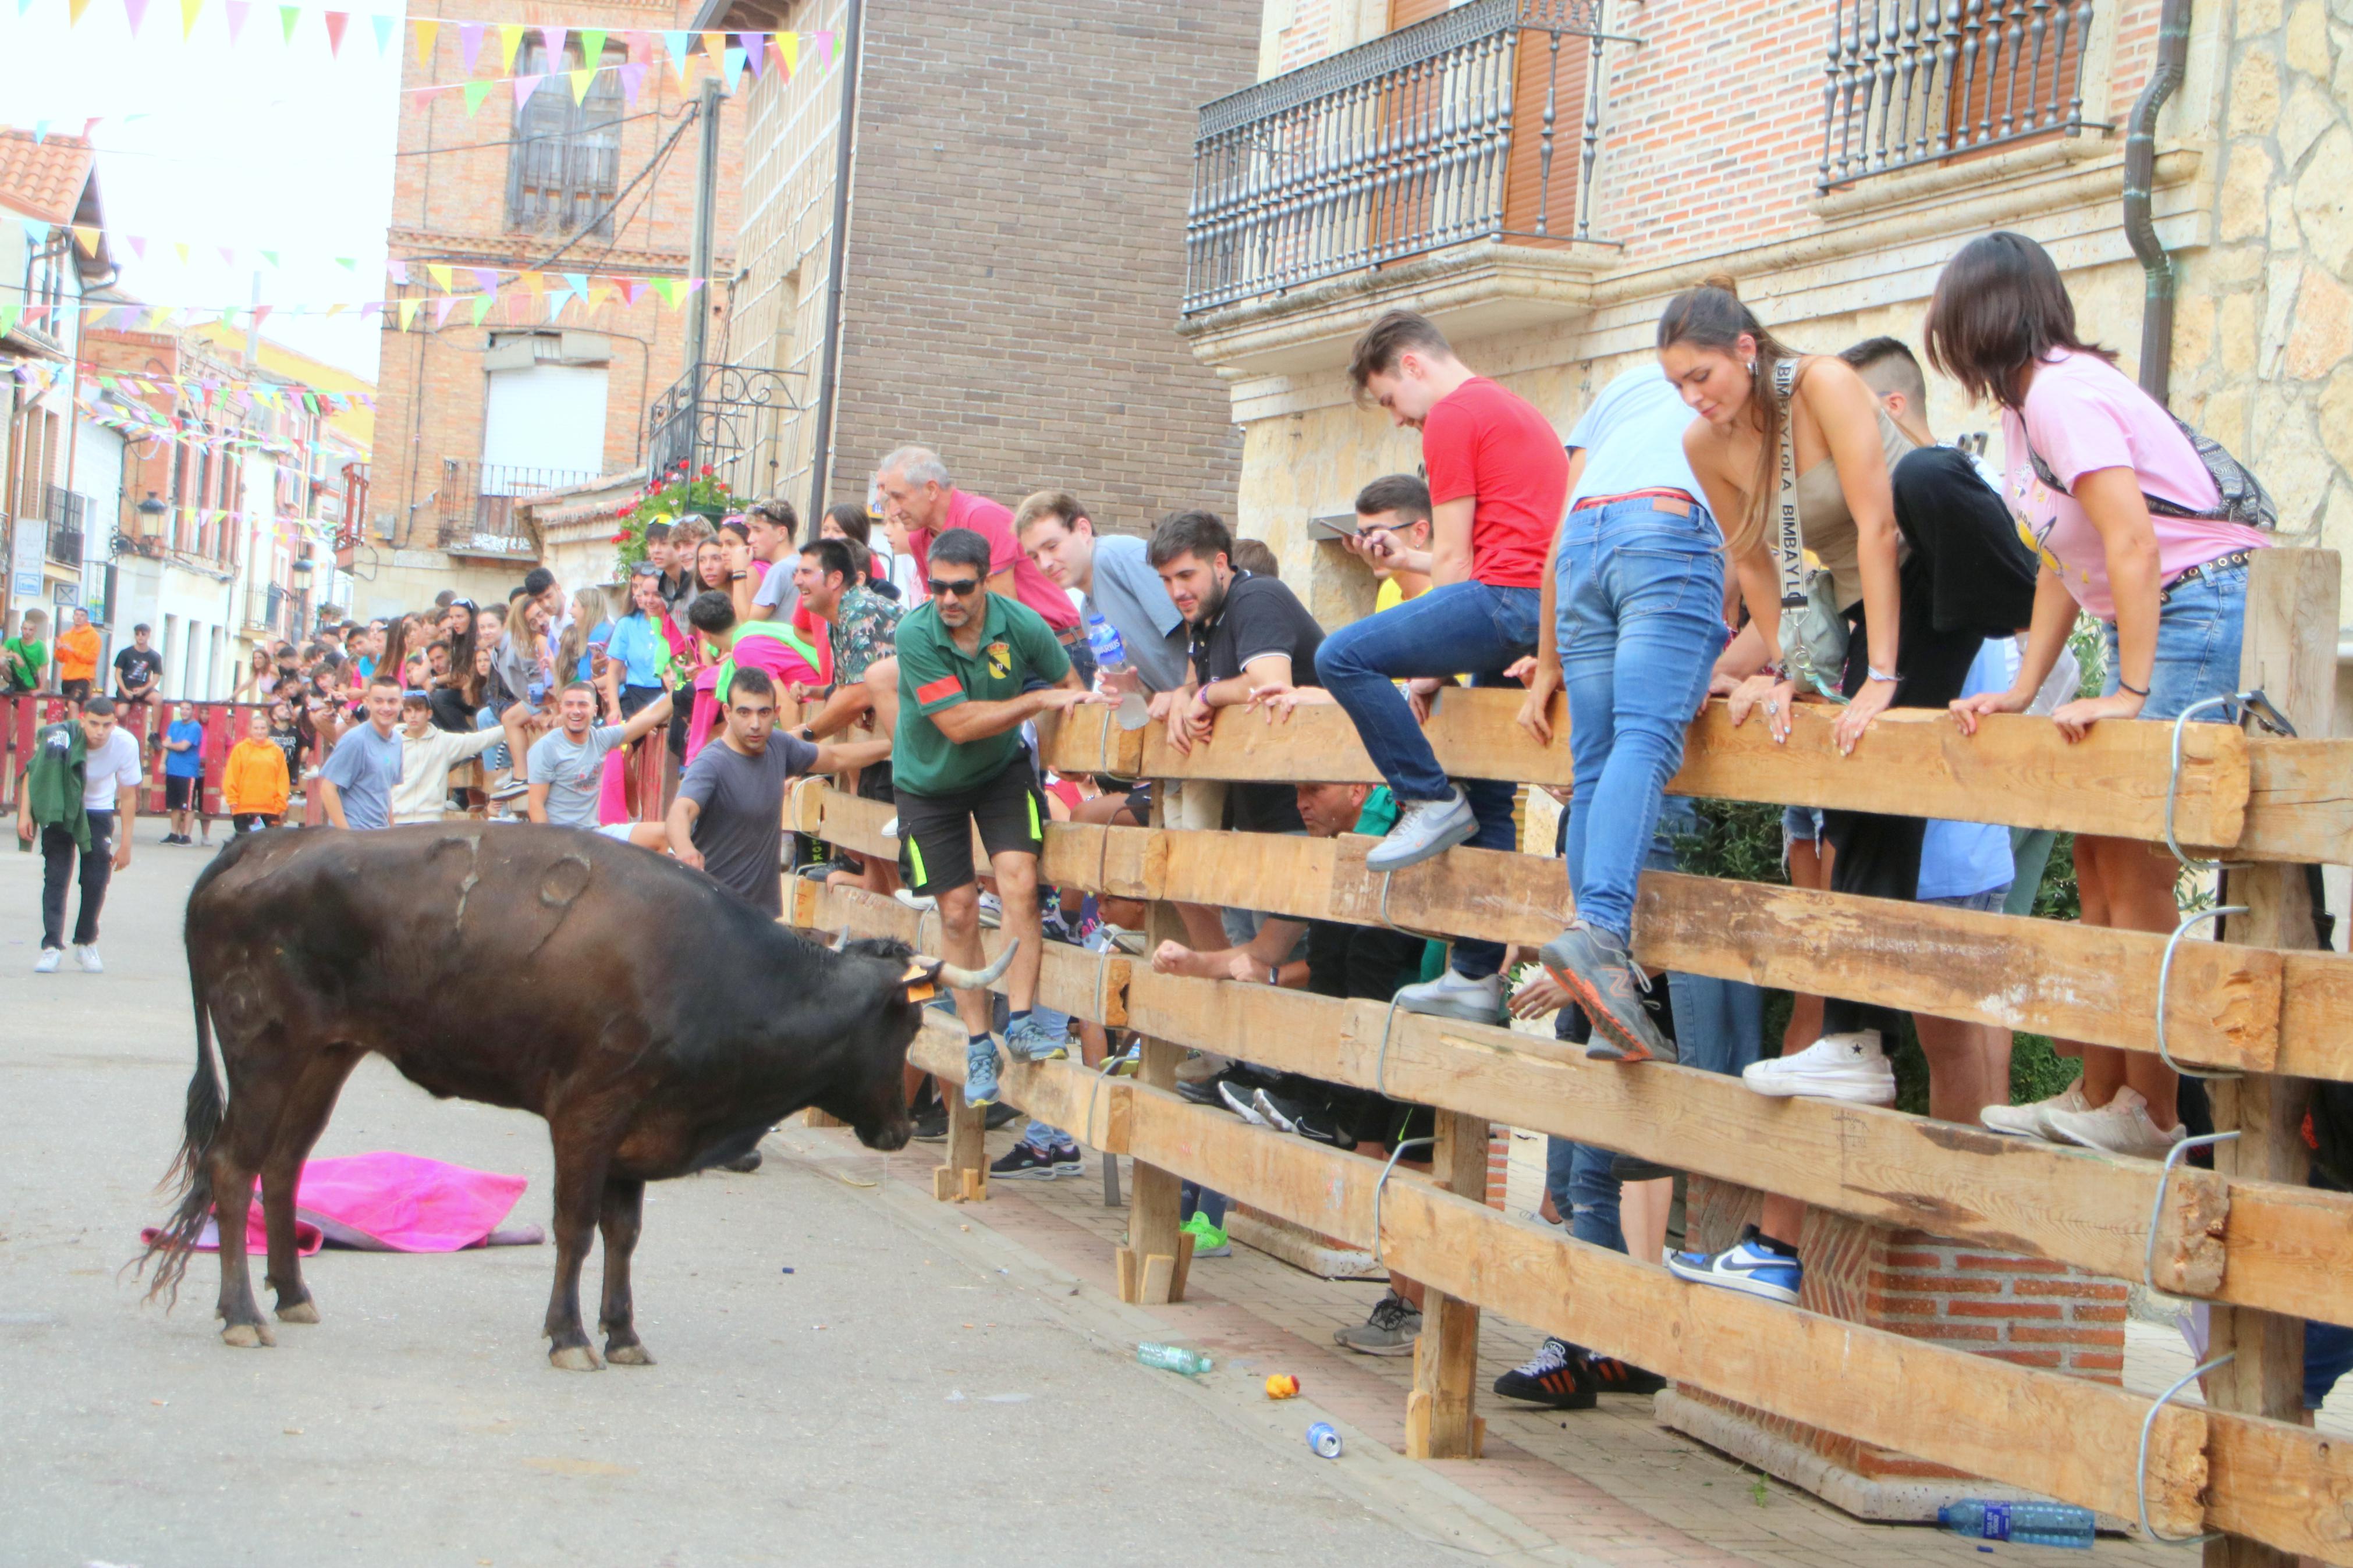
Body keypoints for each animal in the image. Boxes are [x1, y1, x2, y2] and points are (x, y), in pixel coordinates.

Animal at [137, 827, 1002, 1363]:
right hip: (264, 1052)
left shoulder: (637, 1131)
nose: (898, 1130)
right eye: (907, 1022)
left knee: (282, 1166)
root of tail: (269, 839)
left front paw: (622, 1332)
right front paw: (569, 1335)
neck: (718, 972)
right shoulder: (588, 1113)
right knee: (231, 1165)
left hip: (325, 1055)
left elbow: (623, 1234)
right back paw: (243, 1315)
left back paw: (291, 1294)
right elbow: (576, 1228)